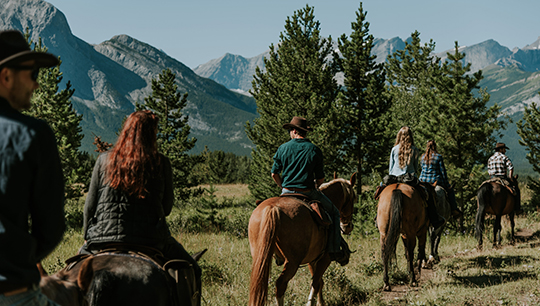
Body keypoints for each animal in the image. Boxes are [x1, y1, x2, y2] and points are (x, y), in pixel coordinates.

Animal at [247, 173, 356, 306]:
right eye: (353, 199)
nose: (348, 226)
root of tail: (272, 208)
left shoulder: (312, 260)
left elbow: (319, 282)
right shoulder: (325, 259)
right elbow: (316, 282)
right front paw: (315, 303)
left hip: (260, 257)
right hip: (292, 263)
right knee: (280, 285)